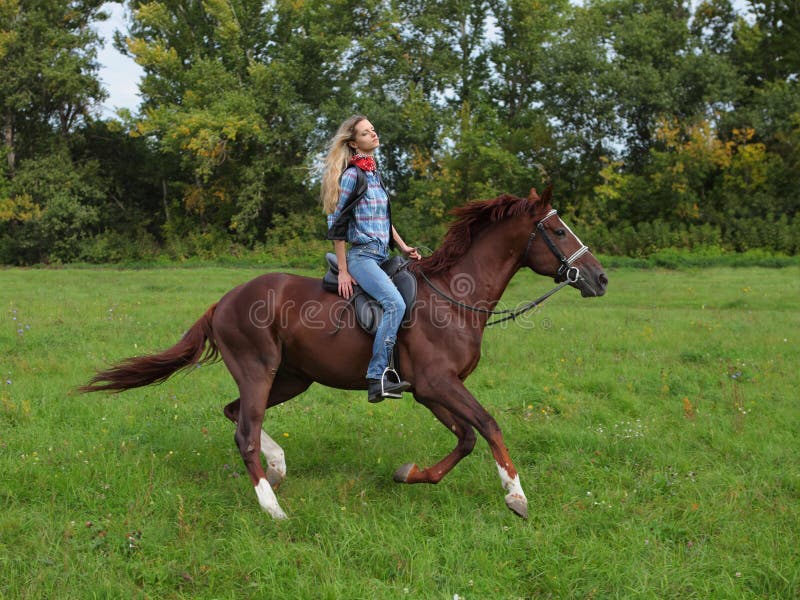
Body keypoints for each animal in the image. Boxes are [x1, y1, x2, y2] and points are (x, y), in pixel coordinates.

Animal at [81, 189, 608, 520]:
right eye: (560, 231)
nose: (600, 278)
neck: (454, 298)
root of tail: (223, 302)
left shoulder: (430, 391)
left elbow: (465, 439)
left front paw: (409, 474)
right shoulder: (439, 383)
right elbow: (489, 425)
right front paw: (516, 496)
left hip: (292, 378)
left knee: (233, 414)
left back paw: (278, 468)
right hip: (259, 370)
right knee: (244, 433)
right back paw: (273, 509)